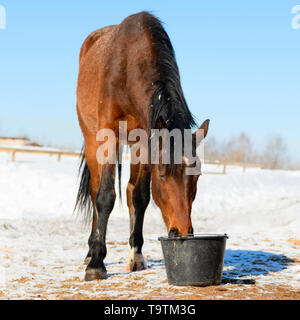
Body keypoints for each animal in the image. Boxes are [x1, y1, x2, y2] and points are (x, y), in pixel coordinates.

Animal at [76, 11, 210, 280]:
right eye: (164, 175)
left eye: (197, 176)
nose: (181, 232)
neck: (129, 66)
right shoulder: (109, 135)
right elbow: (105, 197)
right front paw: (96, 264)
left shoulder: (145, 144)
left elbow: (139, 197)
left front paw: (136, 256)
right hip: (92, 138)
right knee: (95, 190)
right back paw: (90, 252)